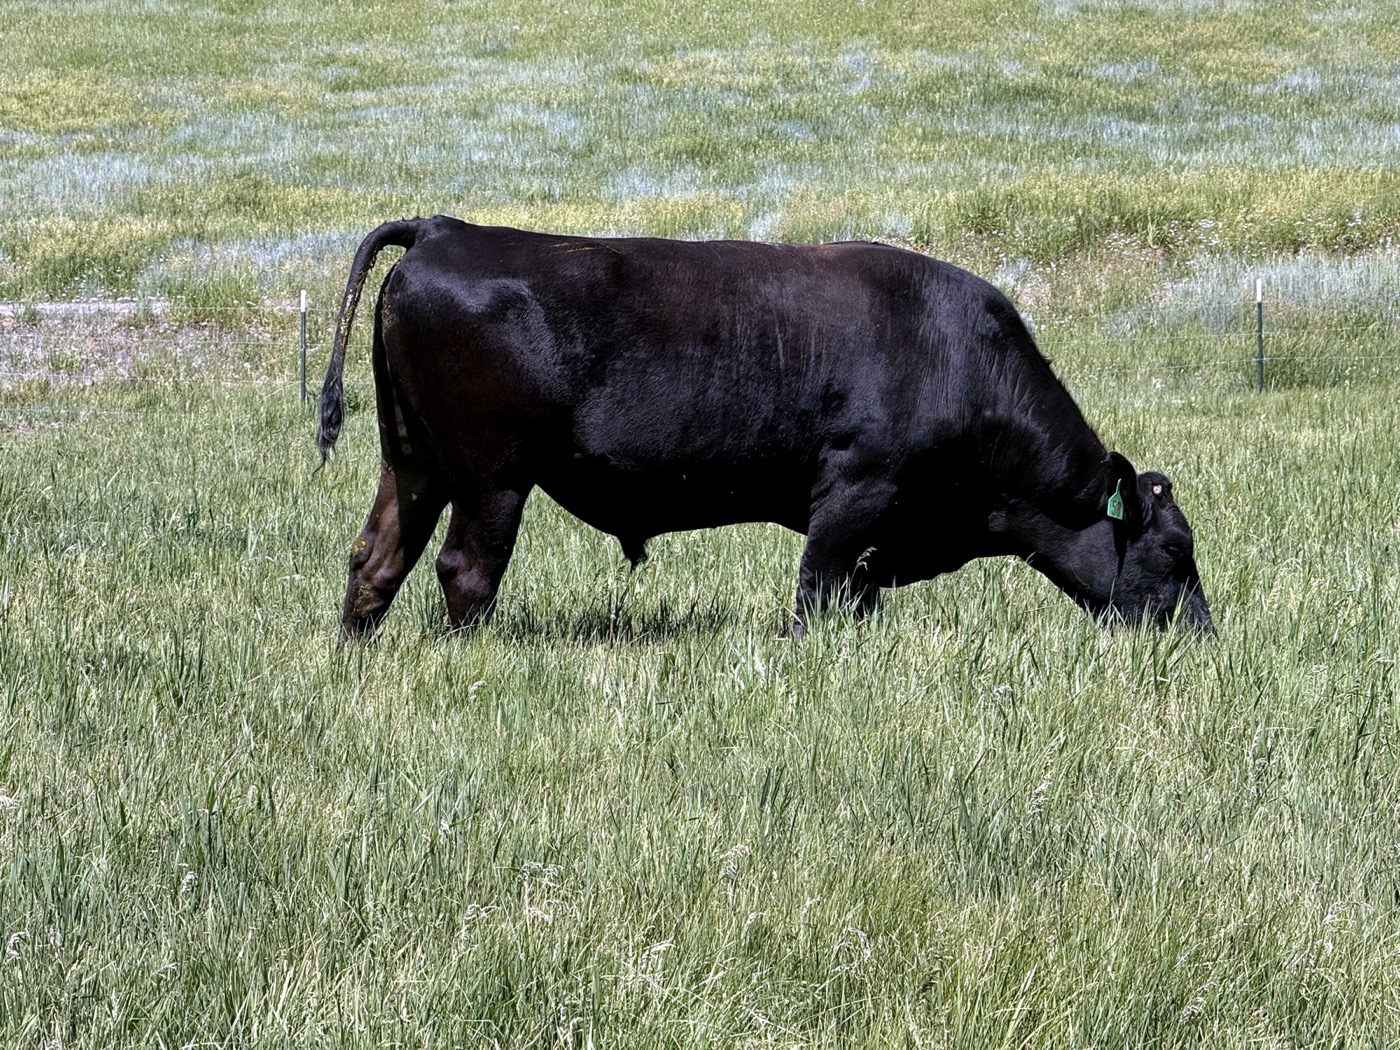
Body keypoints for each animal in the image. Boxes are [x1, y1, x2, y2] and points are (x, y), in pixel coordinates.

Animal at [316, 215, 1211, 638]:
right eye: (1175, 550)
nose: (1199, 635)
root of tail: (445, 227)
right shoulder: (853, 494)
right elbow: (817, 592)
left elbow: (853, 600)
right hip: (490, 478)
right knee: (466, 571)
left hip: (412, 462)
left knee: (377, 558)